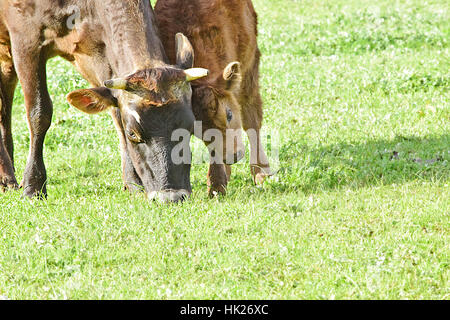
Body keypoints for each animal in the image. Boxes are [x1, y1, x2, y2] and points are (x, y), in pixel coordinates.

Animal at [0, 0, 207, 202]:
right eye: (133, 133)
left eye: (190, 127)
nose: (171, 196)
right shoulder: (25, 37)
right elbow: (39, 112)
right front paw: (33, 187)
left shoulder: (100, 51)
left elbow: (116, 113)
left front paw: (133, 183)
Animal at [156, 0, 272, 196]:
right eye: (196, 130)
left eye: (229, 114)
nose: (233, 156)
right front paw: (217, 186)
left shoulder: (248, 67)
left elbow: (252, 120)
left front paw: (261, 173)